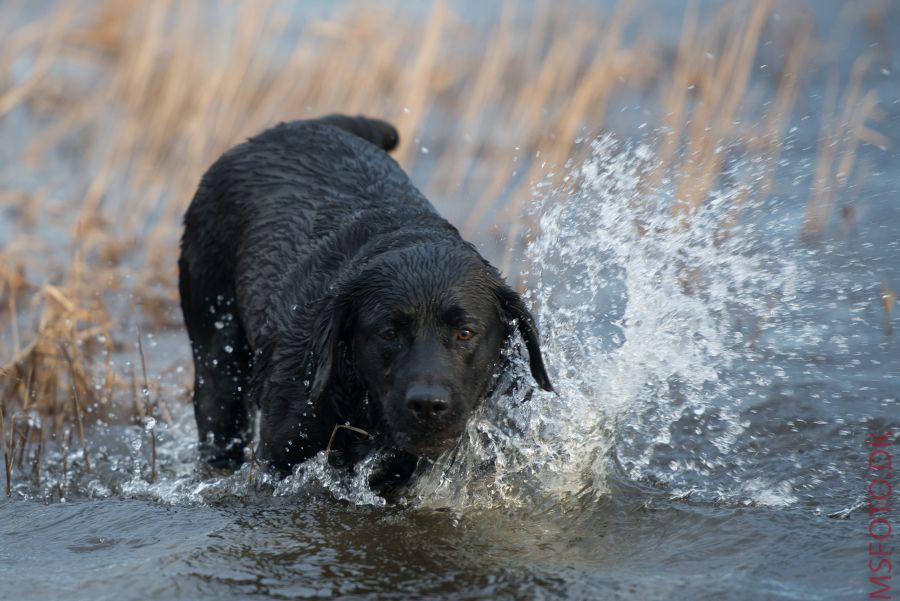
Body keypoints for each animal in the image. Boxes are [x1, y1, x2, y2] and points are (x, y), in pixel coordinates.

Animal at [179, 115, 552, 480]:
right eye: (388, 333)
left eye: (465, 332)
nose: (427, 404)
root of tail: (290, 126)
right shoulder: (281, 452)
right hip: (217, 352)